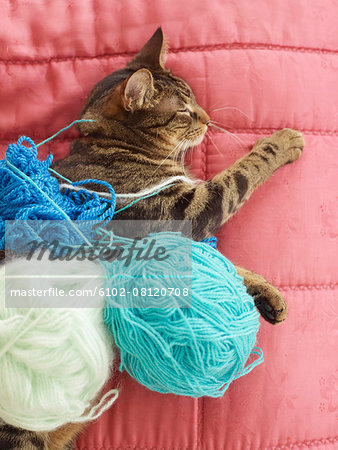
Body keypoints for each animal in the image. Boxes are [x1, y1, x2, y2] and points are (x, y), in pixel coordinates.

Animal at [0, 29, 304, 450]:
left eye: (195, 99)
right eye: (184, 111)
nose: (208, 118)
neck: (115, 144)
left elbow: (229, 269)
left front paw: (268, 296)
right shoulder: (185, 212)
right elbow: (241, 175)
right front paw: (282, 143)